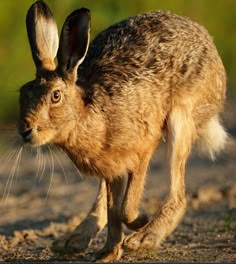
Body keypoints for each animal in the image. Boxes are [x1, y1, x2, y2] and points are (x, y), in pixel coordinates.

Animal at [19, 0, 228, 260]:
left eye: (55, 96)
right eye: (22, 93)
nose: (25, 131)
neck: (86, 114)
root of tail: (206, 39)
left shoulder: (143, 150)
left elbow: (125, 208)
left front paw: (140, 222)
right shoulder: (111, 169)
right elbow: (114, 210)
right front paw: (108, 253)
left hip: (181, 119)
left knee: (178, 194)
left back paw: (144, 239)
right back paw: (73, 240)